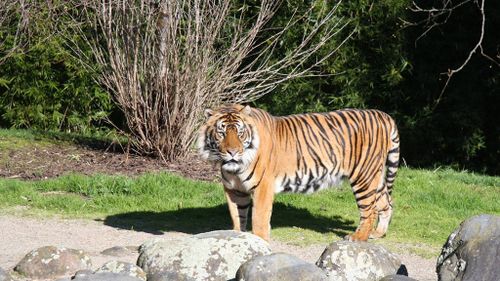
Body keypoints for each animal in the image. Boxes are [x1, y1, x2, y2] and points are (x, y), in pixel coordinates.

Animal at [197, 103, 400, 241]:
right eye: (221, 133)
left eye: (240, 133)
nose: (232, 152)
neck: (235, 168)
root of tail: (382, 114)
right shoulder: (234, 190)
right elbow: (238, 217)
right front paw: (238, 239)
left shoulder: (263, 187)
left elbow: (259, 218)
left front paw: (260, 242)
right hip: (374, 176)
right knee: (386, 202)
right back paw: (378, 233)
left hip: (363, 176)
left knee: (369, 209)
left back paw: (358, 237)